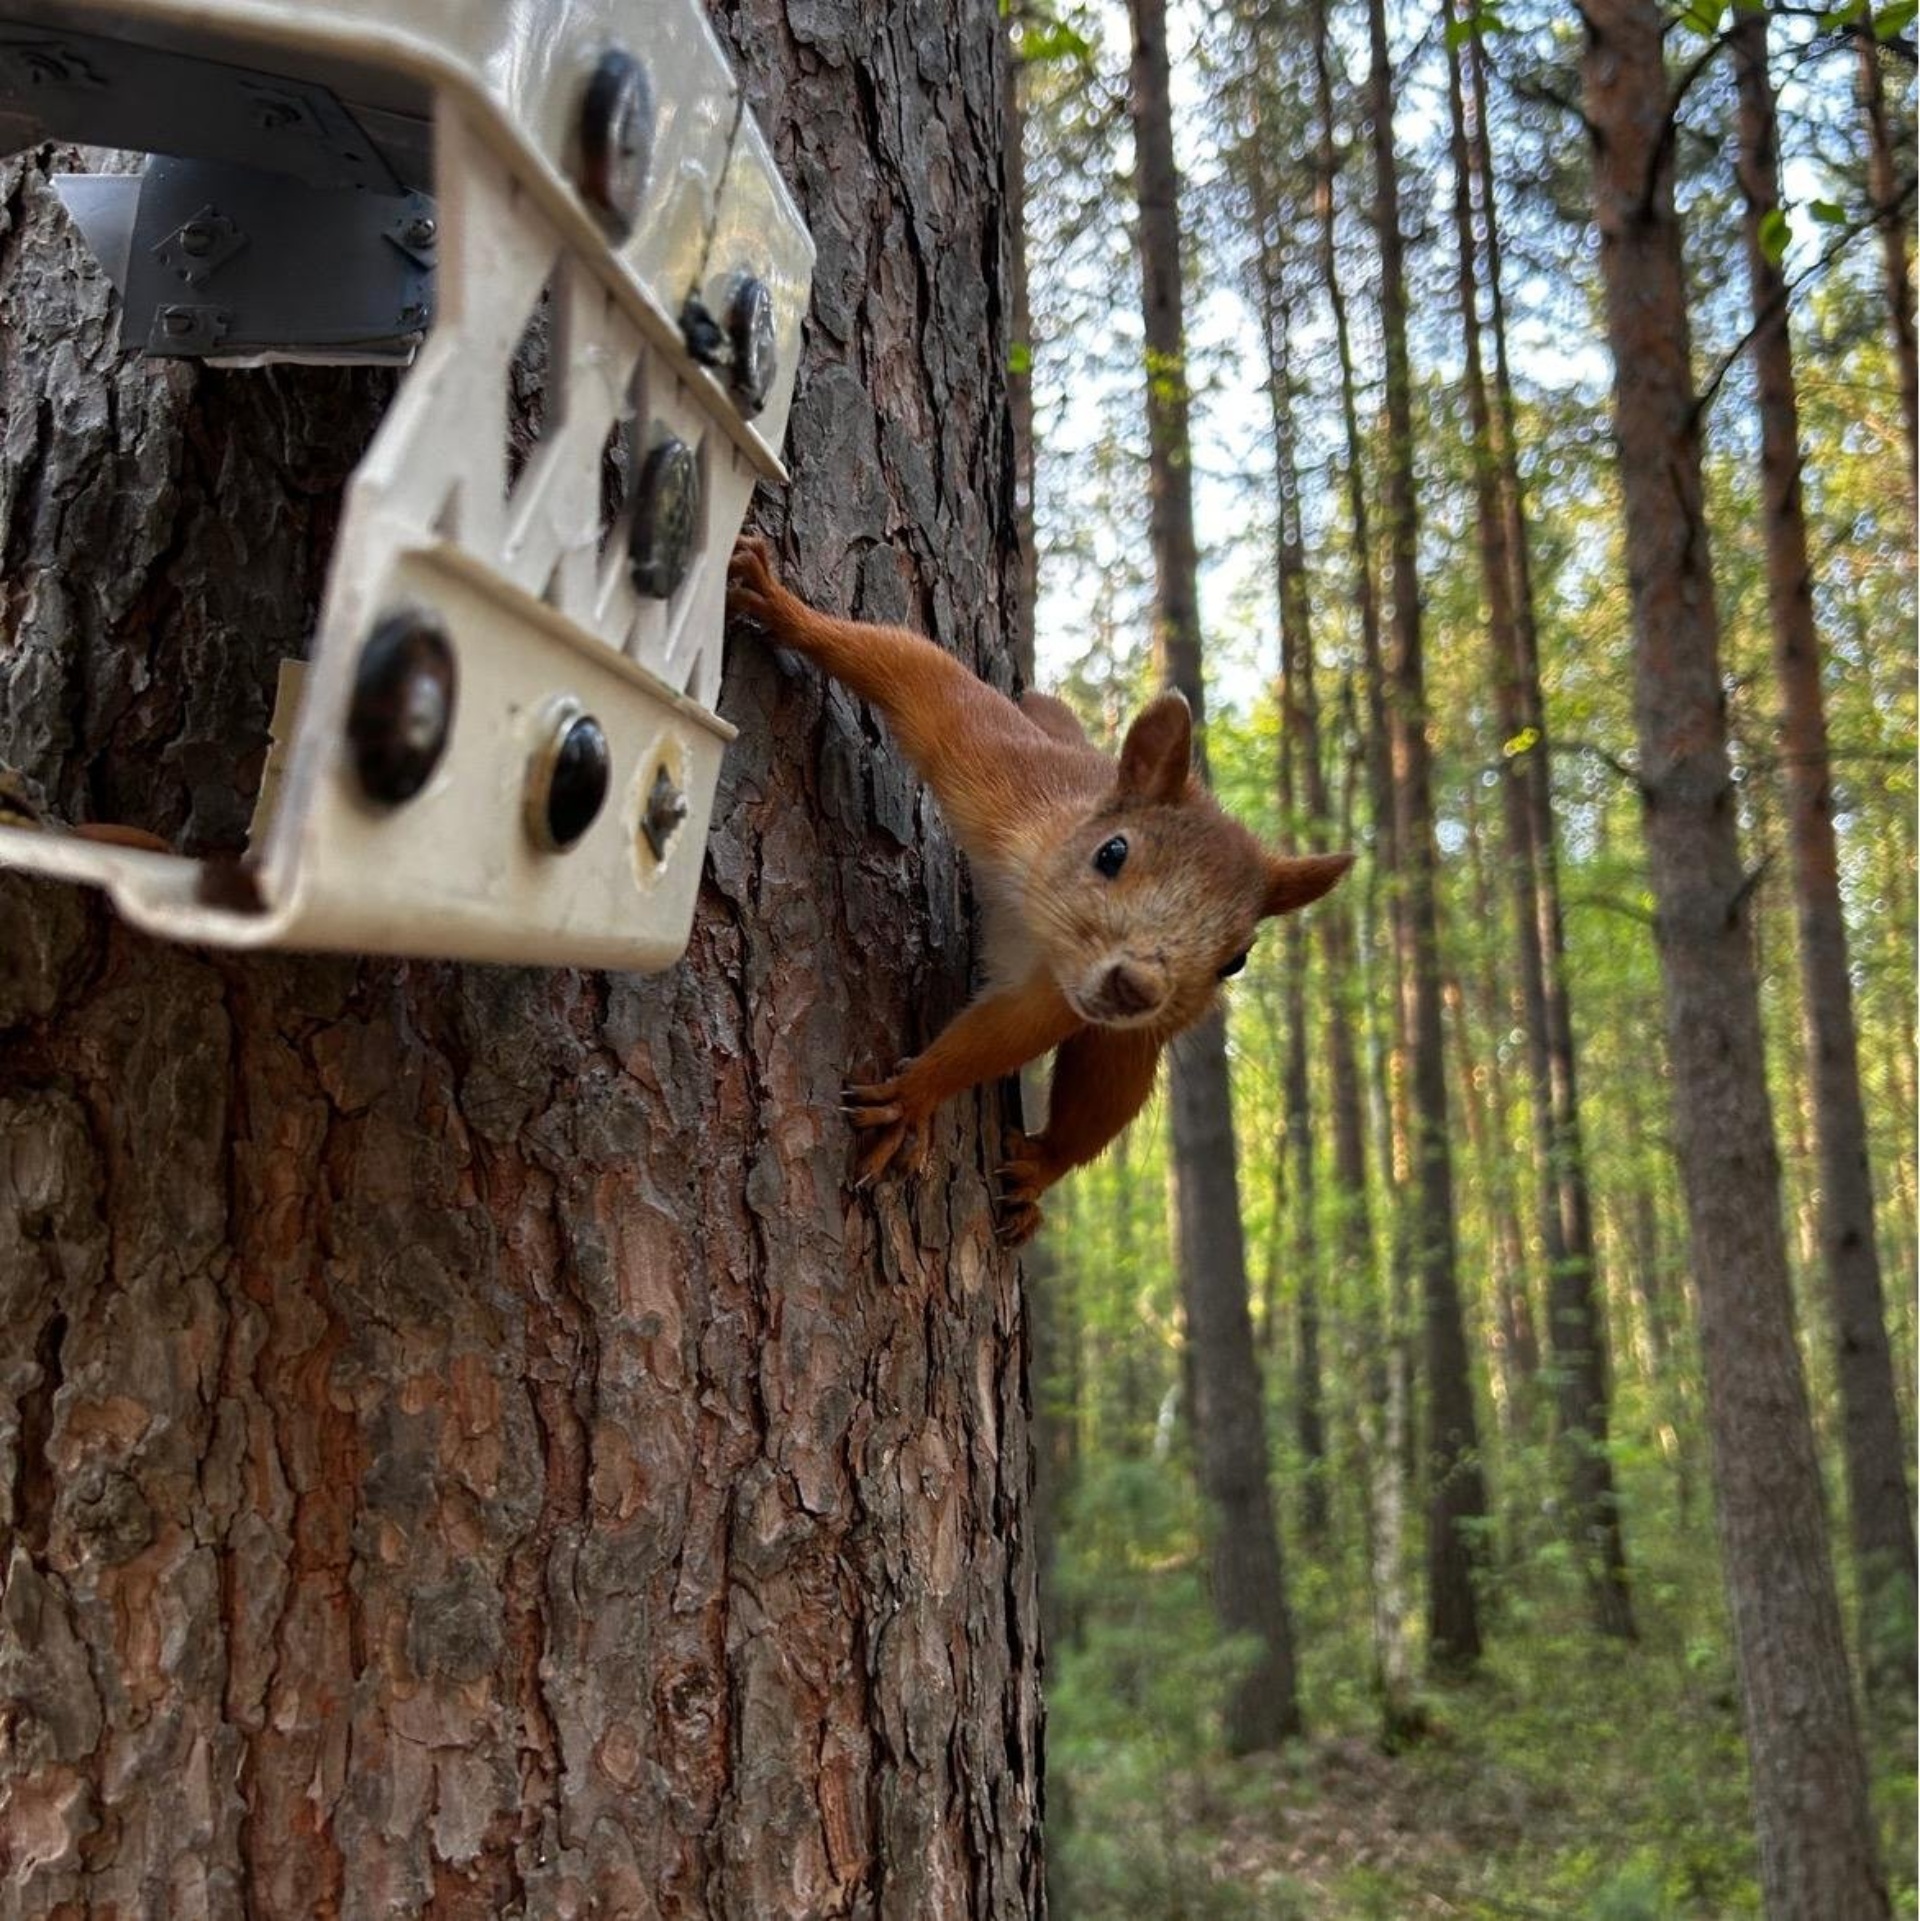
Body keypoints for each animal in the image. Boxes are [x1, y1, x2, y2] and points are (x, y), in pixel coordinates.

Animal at [730, 534, 1353, 1237]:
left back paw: (1039, 1169)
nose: (1138, 987)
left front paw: (916, 1097)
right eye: (1112, 853)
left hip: (1132, 1044)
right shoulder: (1000, 769)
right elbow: (915, 671)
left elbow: (999, 1036)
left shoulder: (1057, 995)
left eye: (1237, 961)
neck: (1031, 906)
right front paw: (781, 606)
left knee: (1102, 1098)